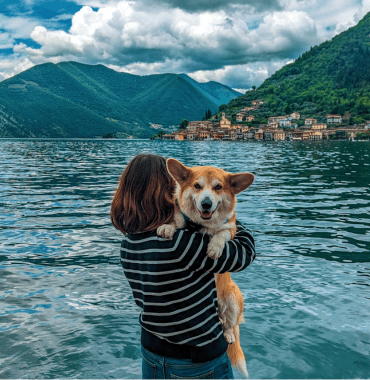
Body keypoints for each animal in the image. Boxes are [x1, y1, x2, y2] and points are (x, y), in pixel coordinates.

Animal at [156, 157, 254, 378]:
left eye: (218, 187)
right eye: (197, 186)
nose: (206, 204)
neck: (200, 226)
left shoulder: (231, 229)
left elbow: (221, 233)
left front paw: (215, 248)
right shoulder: (182, 219)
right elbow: (176, 222)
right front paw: (167, 227)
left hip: (233, 299)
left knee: (230, 326)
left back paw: (229, 335)